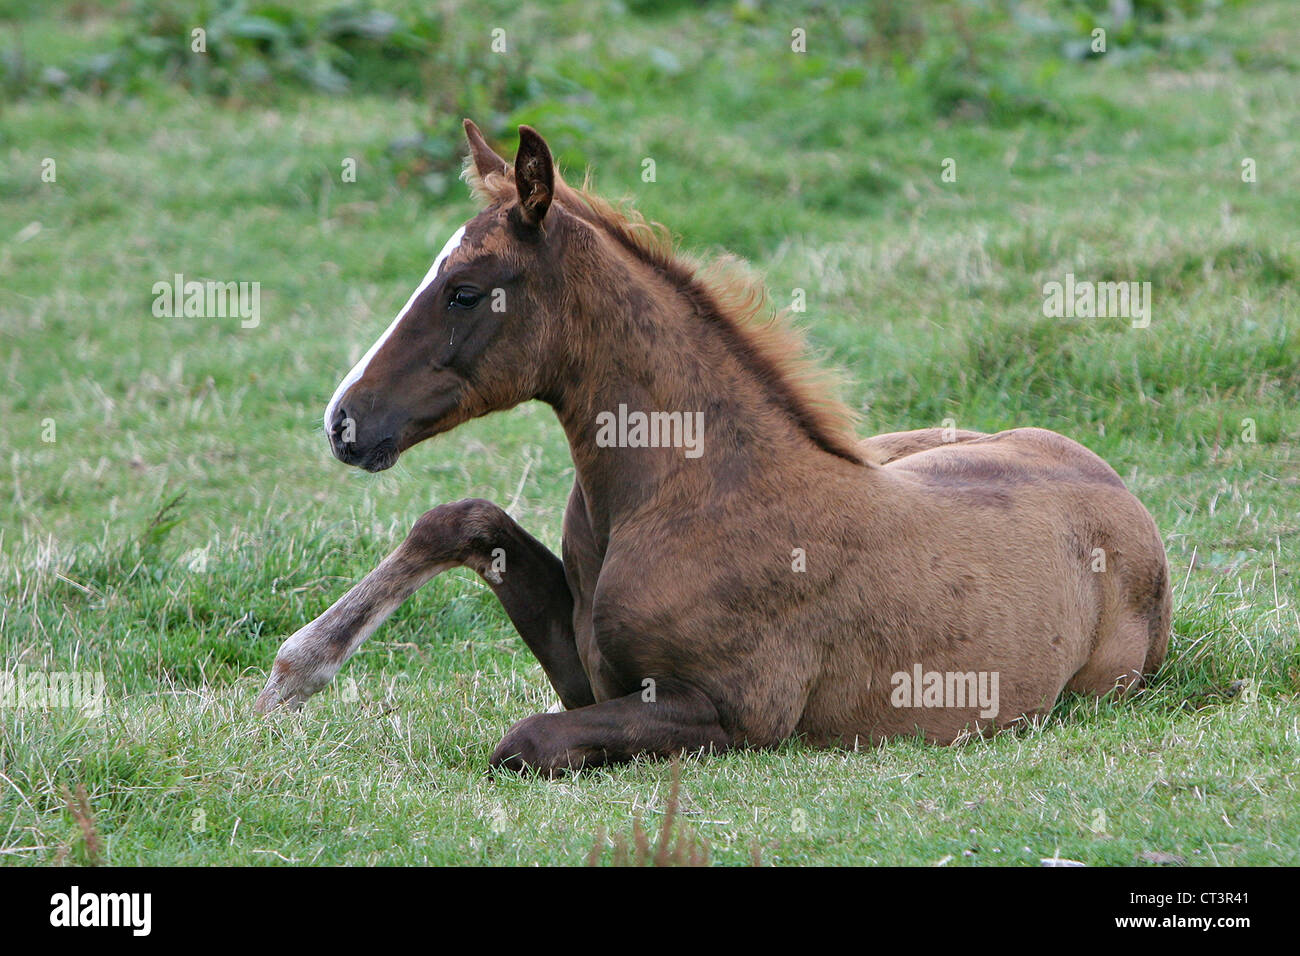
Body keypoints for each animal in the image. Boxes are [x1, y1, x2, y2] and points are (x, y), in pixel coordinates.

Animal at [253, 121, 1170, 780]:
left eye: (466, 291)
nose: (345, 421)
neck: (691, 491)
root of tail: (1119, 490)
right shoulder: (591, 672)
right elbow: (463, 519)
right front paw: (291, 676)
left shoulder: (736, 715)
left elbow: (524, 742)